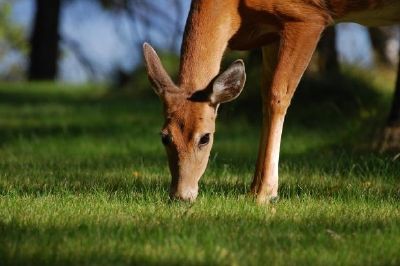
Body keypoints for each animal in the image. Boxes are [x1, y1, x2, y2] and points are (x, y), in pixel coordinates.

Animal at [144, 0, 400, 204]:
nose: (180, 195)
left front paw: (265, 193)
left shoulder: (307, 16)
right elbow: (266, 96)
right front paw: (252, 189)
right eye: (164, 137)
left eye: (205, 138)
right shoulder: (270, 34)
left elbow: (279, 95)